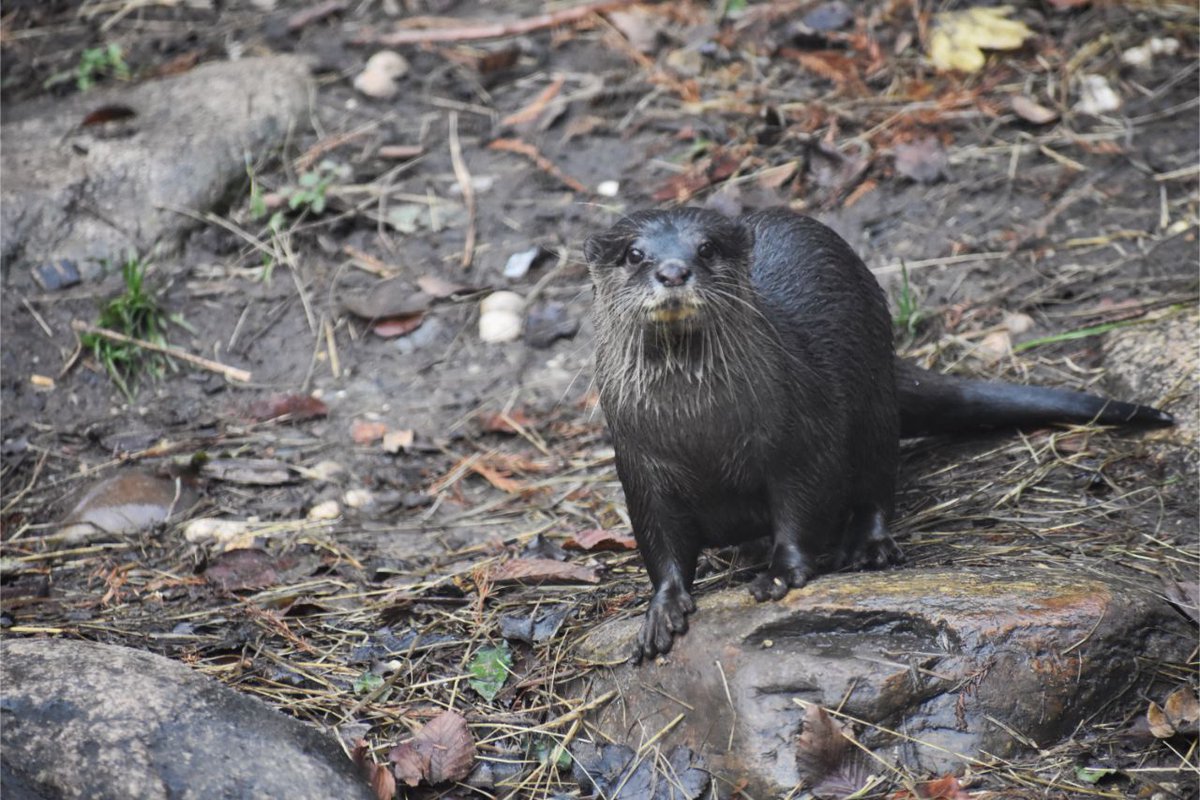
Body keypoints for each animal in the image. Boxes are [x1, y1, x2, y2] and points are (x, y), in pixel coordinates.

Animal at [583, 207, 1173, 663]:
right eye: (634, 254)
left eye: (706, 248)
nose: (673, 270)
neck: (701, 433)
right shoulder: (640, 468)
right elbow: (659, 543)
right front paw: (662, 609)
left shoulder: (801, 439)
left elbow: (803, 506)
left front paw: (782, 572)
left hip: (873, 406)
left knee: (875, 481)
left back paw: (868, 547)